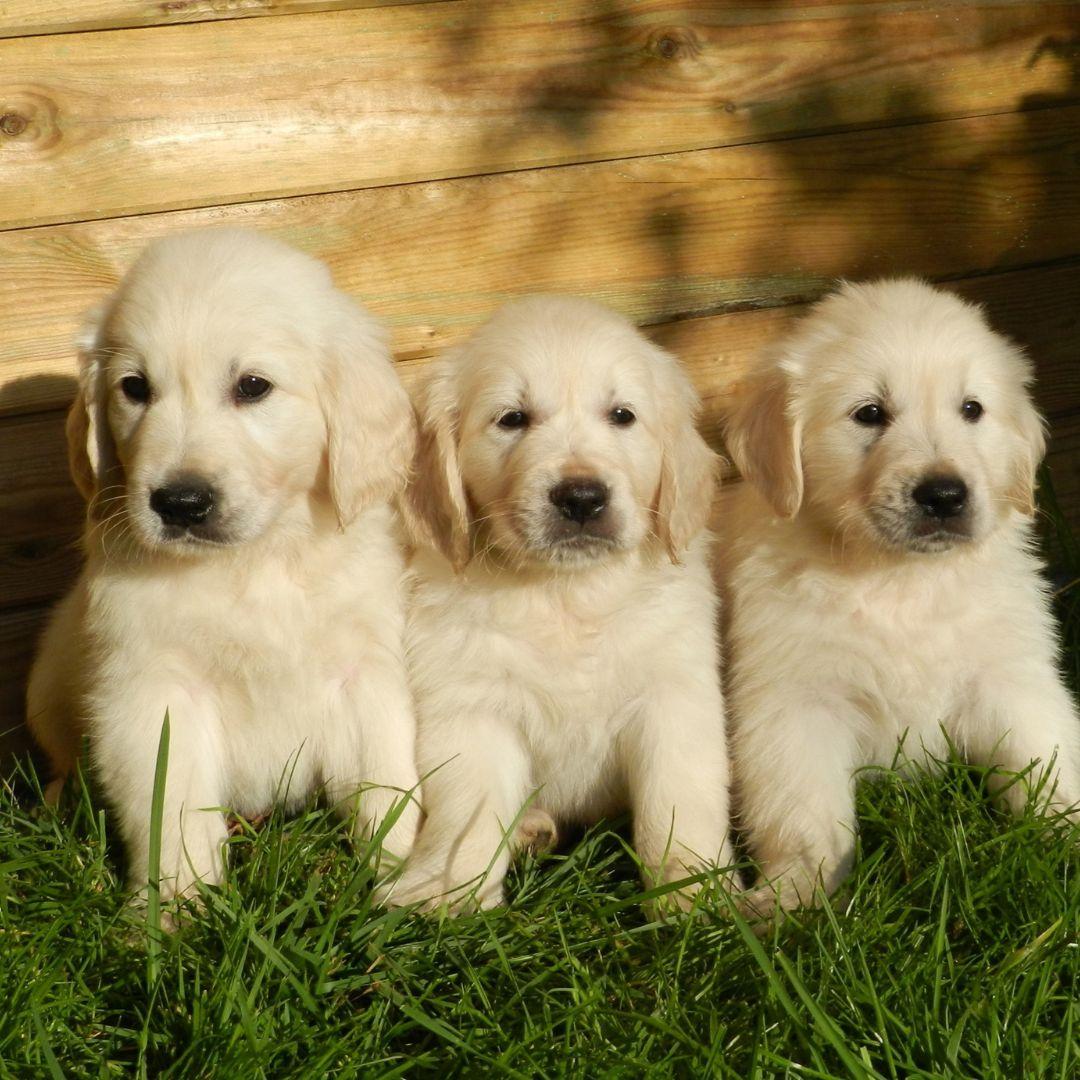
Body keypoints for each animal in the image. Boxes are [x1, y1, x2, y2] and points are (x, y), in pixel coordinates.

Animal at [25, 230, 421, 911]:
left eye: (253, 386)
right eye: (135, 388)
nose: (180, 503)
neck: (251, 564)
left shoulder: (366, 670)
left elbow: (389, 783)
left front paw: (414, 890)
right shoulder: (153, 692)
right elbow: (171, 809)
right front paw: (172, 911)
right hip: (49, 682)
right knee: (63, 756)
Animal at [382, 293, 734, 911]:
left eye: (622, 415)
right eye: (512, 418)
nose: (582, 498)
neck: (565, 593)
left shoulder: (674, 692)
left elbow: (680, 797)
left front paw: (696, 890)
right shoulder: (472, 705)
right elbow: (468, 810)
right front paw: (449, 892)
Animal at [717, 276, 1080, 911]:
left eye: (971, 409)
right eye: (869, 414)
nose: (944, 495)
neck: (900, 579)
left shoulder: (1010, 677)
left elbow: (1049, 759)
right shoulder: (793, 704)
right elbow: (805, 814)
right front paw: (794, 897)